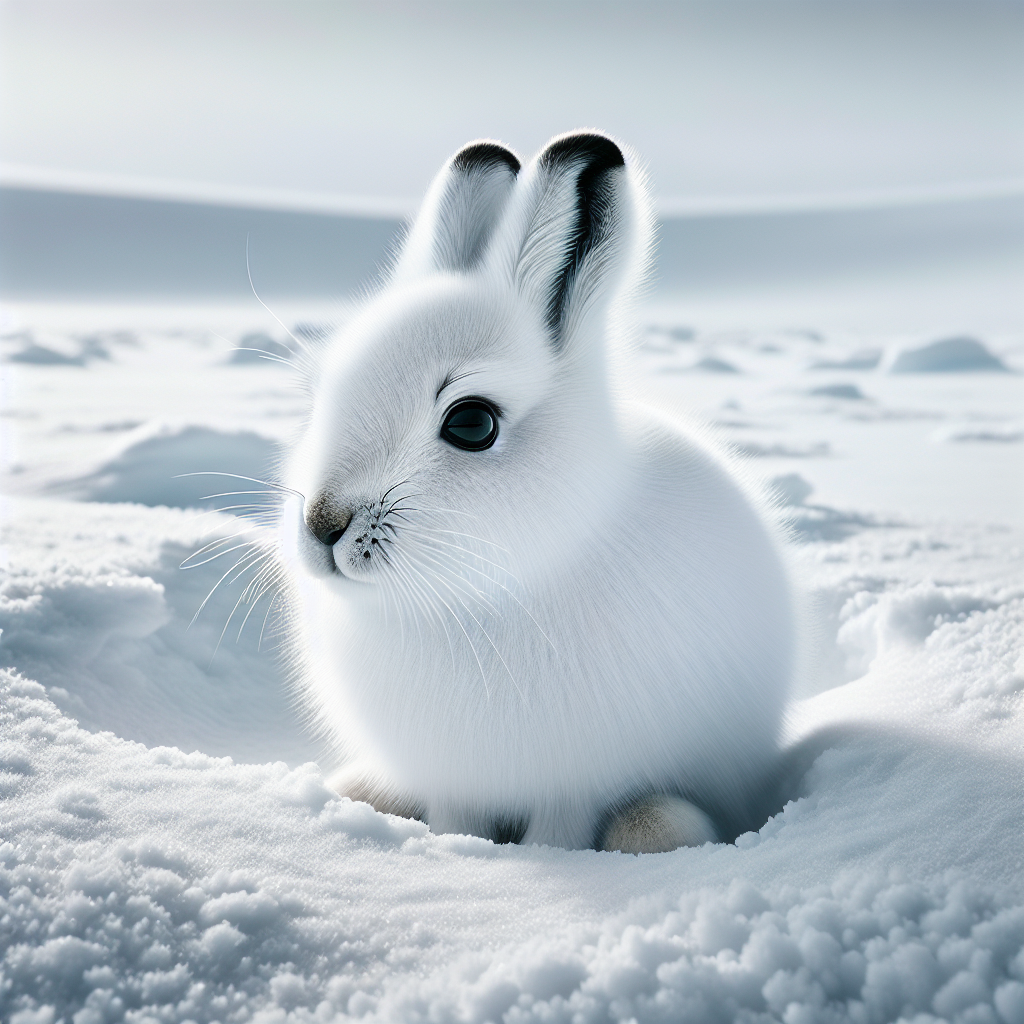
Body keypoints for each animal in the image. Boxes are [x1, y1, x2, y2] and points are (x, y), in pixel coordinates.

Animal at [277, 131, 795, 853]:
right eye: (320, 394)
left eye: (472, 424)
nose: (323, 524)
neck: (473, 595)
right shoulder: (456, 782)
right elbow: (458, 821)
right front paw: (453, 853)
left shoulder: (572, 787)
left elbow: (559, 834)